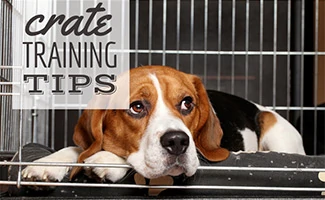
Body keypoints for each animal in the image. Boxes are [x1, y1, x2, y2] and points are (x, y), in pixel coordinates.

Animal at [21, 65, 306, 183]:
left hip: (274, 126)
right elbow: (76, 149)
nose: (177, 142)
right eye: (137, 107)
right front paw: (47, 164)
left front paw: (108, 160)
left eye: (187, 103)